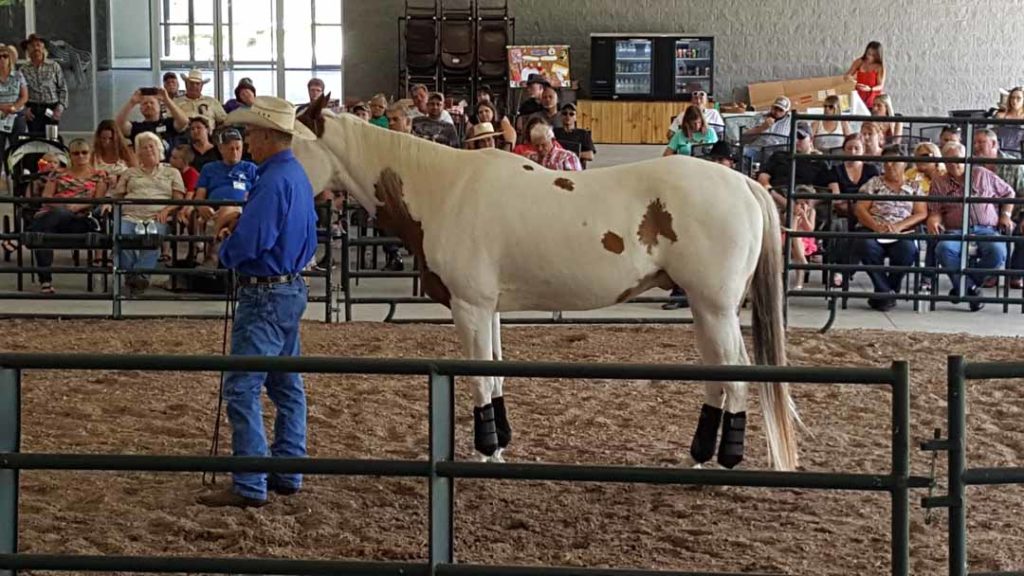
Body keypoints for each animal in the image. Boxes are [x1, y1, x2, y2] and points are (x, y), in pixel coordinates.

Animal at [292, 95, 800, 471]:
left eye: (292, 144)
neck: (445, 189)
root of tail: (745, 185)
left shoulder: (470, 308)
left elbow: (480, 380)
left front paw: (486, 452)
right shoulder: (489, 310)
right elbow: (494, 375)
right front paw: (498, 445)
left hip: (715, 307)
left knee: (736, 377)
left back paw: (726, 461)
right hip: (703, 307)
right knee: (718, 376)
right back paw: (699, 457)